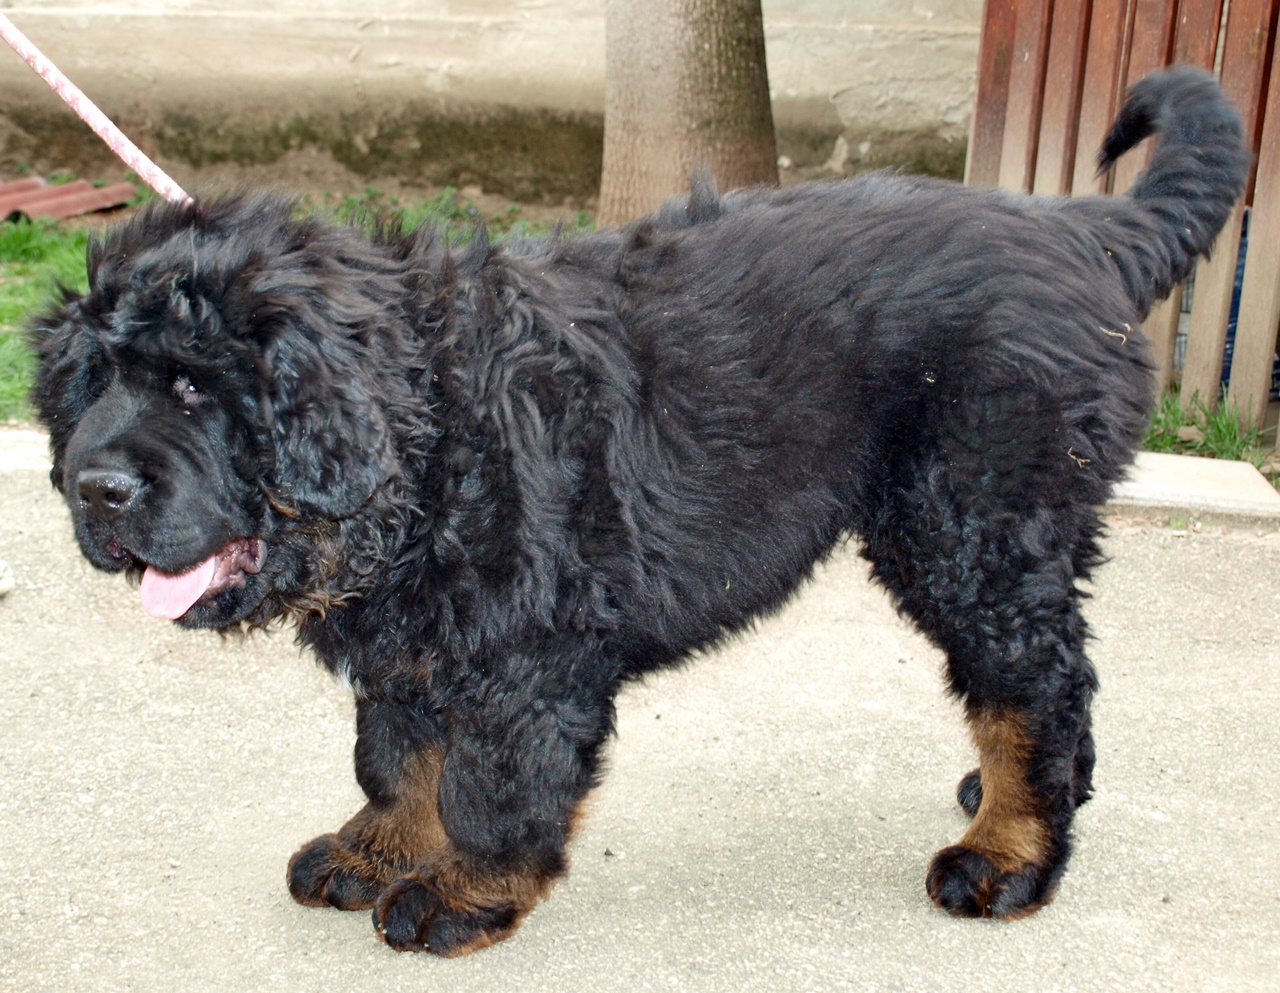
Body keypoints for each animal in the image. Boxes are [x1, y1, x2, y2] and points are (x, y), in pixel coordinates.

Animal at [29, 66, 1248, 955]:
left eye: (193, 386)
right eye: (93, 385)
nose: (96, 489)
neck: (424, 437)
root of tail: (1081, 232)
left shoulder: (528, 648)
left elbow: (491, 776)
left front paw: (461, 892)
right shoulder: (412, 638)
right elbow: (396, 751)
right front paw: (375, 850)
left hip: (971, 520)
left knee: (1033, 679)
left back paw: (1007, 853)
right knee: (1049, 673)